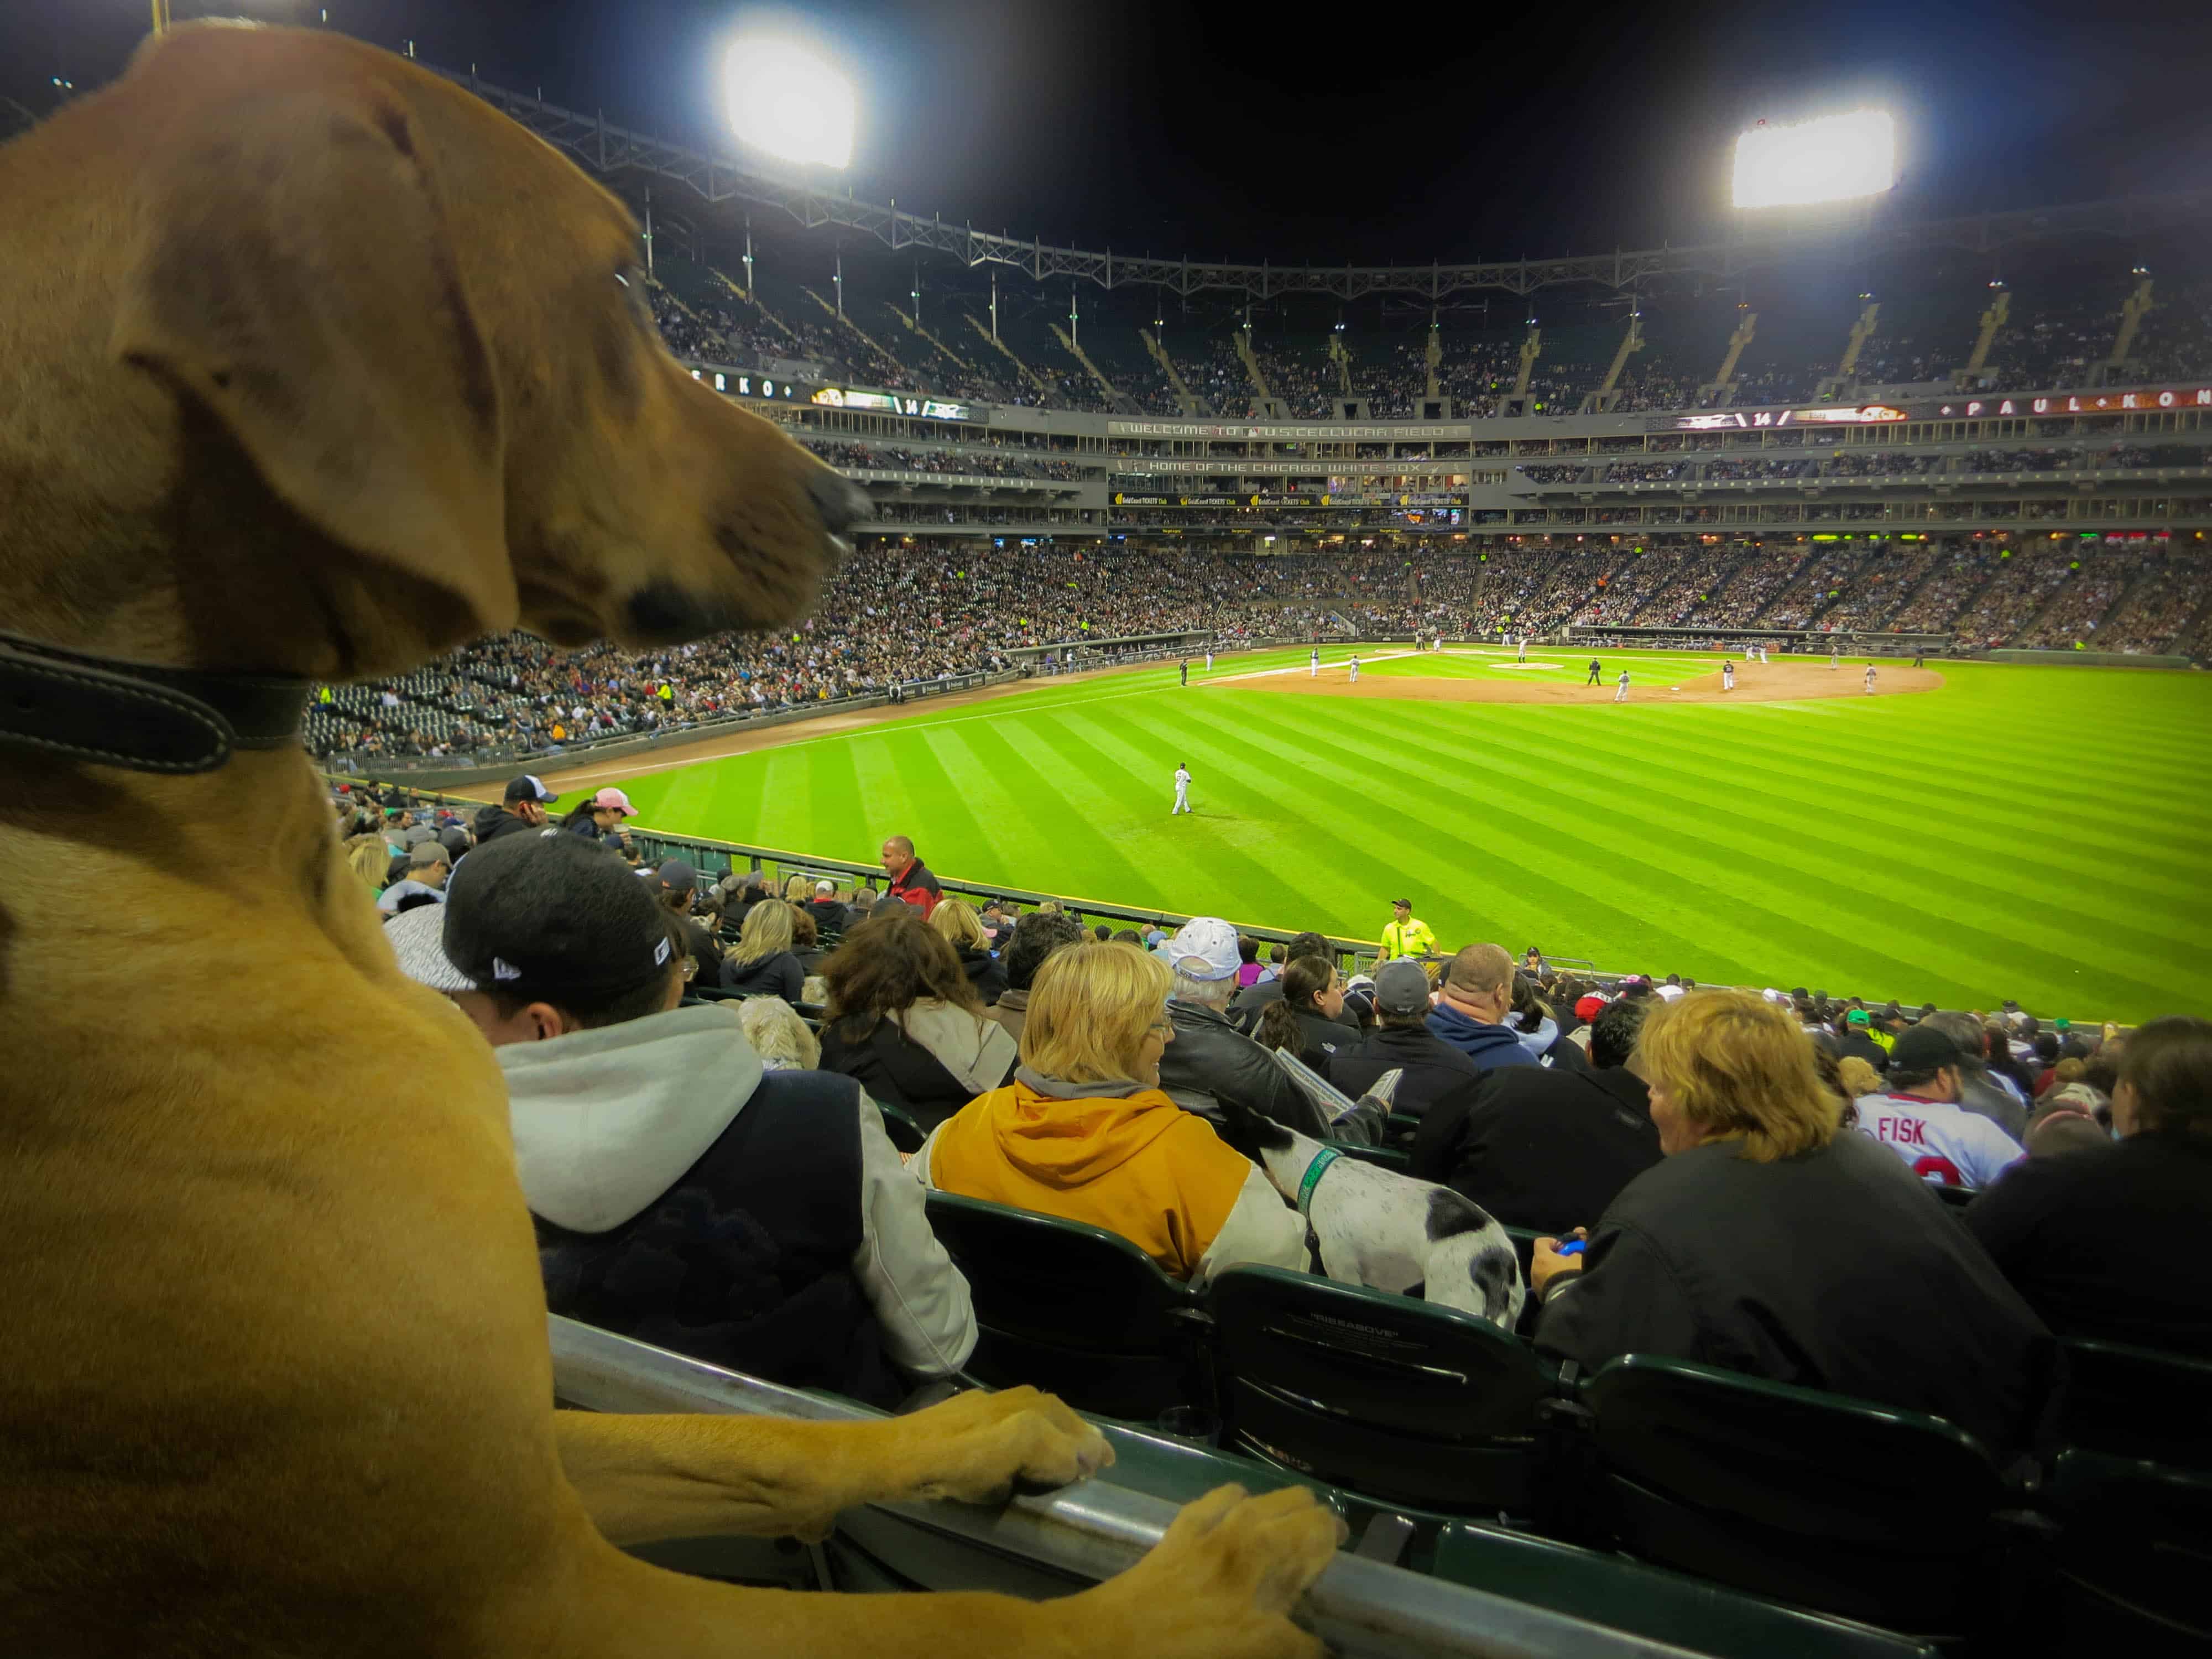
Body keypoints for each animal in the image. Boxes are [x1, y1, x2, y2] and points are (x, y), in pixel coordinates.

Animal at [0, 26, 1336, 1659]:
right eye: (619, 297)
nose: (854, 504)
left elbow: (765, 1441)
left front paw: (969, 1434)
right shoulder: (520, 1570)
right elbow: (972, 1615)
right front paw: (1201, 1583)